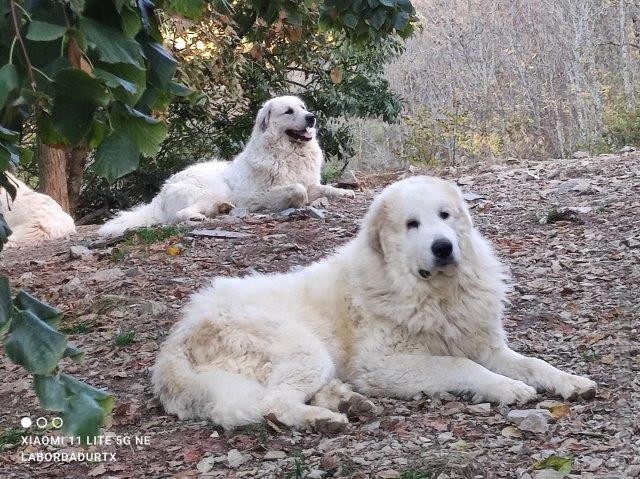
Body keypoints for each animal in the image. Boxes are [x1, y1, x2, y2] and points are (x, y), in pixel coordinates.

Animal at [99, 94, 356, 237]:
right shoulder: (255, 195)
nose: (311, 117)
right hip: (210, 190)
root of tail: (162, 192)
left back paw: (223, 208)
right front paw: (297, 202)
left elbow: (325, 188)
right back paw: (203, 216)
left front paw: (344, 192)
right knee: (179, 215)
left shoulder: (311, 182)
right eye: (288, 111)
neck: (289, 153)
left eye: (302, 107)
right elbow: (298, 190)